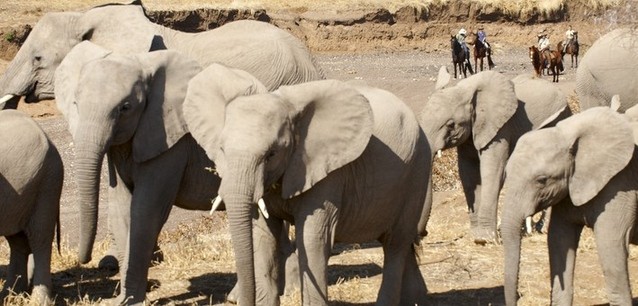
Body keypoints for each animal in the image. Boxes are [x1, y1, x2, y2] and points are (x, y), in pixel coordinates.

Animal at [185, 64, 436, 304]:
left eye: (271, 154)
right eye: (222, 149)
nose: (234, 301)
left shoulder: (327, 172)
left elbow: (313, 238)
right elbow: (263, 237)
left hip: (417, 171)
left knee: (395, 244)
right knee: (400, 246)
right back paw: (417, 300)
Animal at [420, 69, 576, 244]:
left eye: (451, 124)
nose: (424, 233)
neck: (466, 90)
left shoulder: (500, 129)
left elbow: (492, 172)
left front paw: (485, 239)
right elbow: (468, 174)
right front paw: (475, 236)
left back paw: (540, 229)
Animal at [502, 106, 638, 306]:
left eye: (542, 180)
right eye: (506, 173)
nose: (519, 296)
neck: (568, 133)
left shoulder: (620, 182)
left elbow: (611, 243)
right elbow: (559, 239)